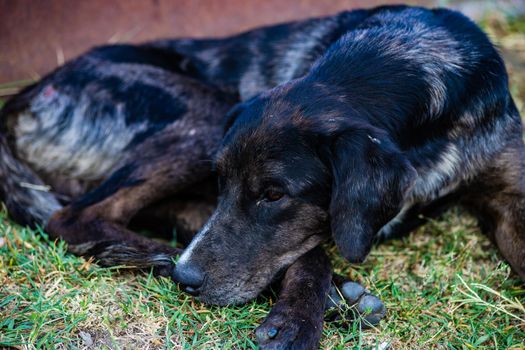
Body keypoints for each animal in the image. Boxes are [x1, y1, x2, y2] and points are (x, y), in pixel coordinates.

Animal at [2, 5, 520, 350]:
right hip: (206, 110)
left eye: (274, 194)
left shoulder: (512, 193)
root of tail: (23, 97)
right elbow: (311, 253)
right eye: (222, 181)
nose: (186, 279)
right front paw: (297, 319)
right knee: (73, 217)